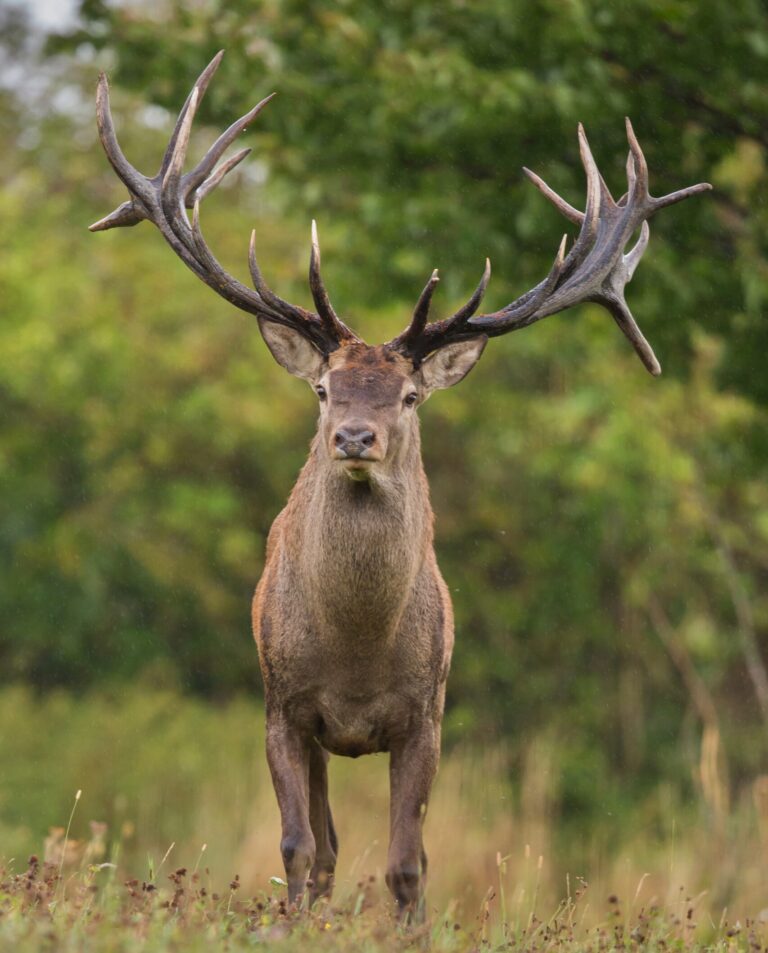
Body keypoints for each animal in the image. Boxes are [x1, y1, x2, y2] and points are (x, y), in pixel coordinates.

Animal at [93, 52, 712, 916]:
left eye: (410, 395)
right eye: (325, 388)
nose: (355, 436)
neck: (358, 653)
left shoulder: (428, 713)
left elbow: (407, 861)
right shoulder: (282, 705)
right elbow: (299, 846)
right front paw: (291, 921)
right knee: (322, 847)